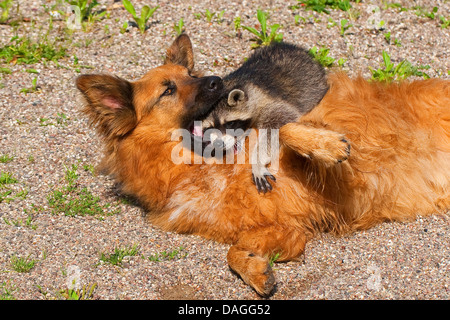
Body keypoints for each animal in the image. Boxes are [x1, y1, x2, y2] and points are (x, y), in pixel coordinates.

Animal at [200, 42, 330, 192]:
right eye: (209, 128)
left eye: (230, 124)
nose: (219, 144)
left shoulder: (270, 103)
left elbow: (274, 128)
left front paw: (258, 162)